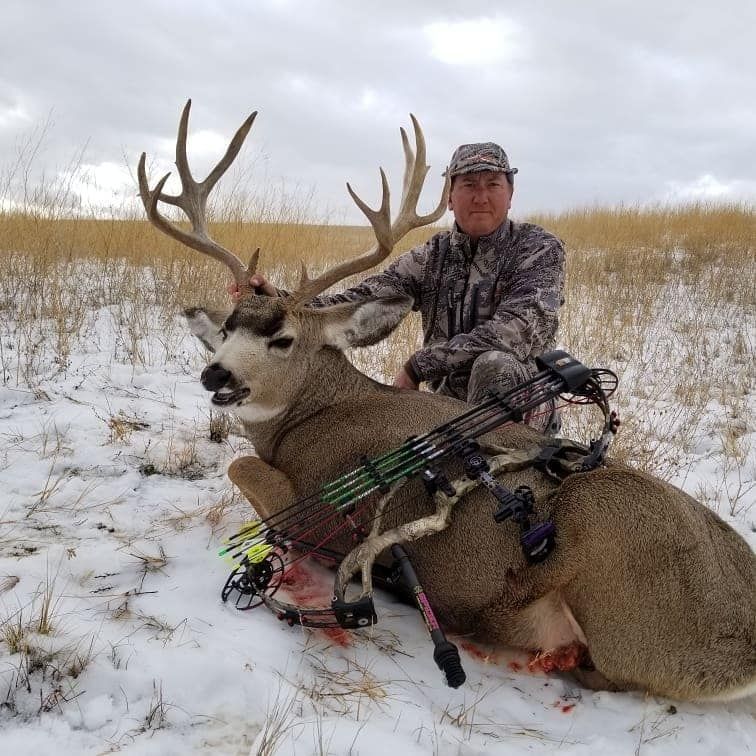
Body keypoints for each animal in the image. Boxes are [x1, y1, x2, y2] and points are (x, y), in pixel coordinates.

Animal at [138, 100, 756, 702]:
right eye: (226, 330)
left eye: (282, 339)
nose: (215, 374)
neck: (313, 414)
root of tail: (741, 648)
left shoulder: (321, 509)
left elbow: (242, 466)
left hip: (616, 577)